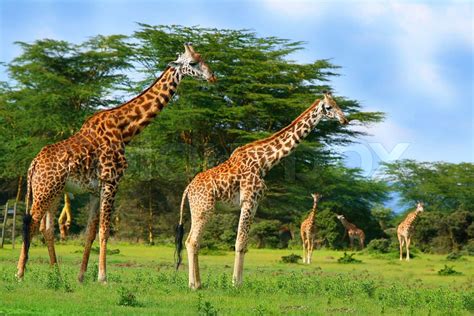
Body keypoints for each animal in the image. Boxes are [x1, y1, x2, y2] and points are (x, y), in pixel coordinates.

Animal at [16, 43, 217, 282]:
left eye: (203, 58)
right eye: (193, 63)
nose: (213, 77)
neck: (125, 129)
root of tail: (33, 165)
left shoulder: (95, 189)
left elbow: (90, 232)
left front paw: (81, 276)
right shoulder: (112, 181)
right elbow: (104, 230)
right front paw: (102, 277)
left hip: (54, 191)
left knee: (46, 228)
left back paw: (56, 274)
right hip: (45, 190)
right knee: (31, 222)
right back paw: (20, 272)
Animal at [174, 91, 348, 288]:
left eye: (337, 104)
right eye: (328, 107)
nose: (344, 119)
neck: (264, 163)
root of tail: (188, 188)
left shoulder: (254, 204)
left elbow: (243, 243)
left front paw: (237, 281)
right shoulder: (250, 200)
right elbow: (240, 243)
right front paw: (237, 283)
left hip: (198, 209)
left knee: (191, 241)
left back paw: (196, 283)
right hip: (204, 209)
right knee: (192, 242)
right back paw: (195, 285)